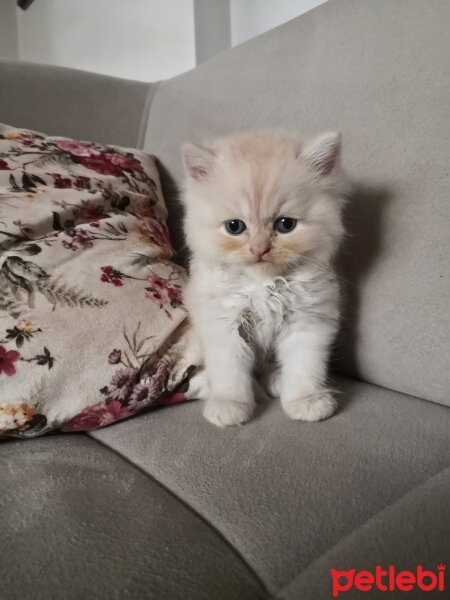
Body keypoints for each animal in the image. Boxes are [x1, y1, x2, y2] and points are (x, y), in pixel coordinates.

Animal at [179, 130, 348, 426]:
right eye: (234, 227)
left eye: (286, 225)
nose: (259, 249)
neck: (263, 284)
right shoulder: (222, 323)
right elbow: (229, 371)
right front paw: (230, 405)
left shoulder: (307, 321)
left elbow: (305, 368)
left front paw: (306, 401)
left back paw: (276, 380)